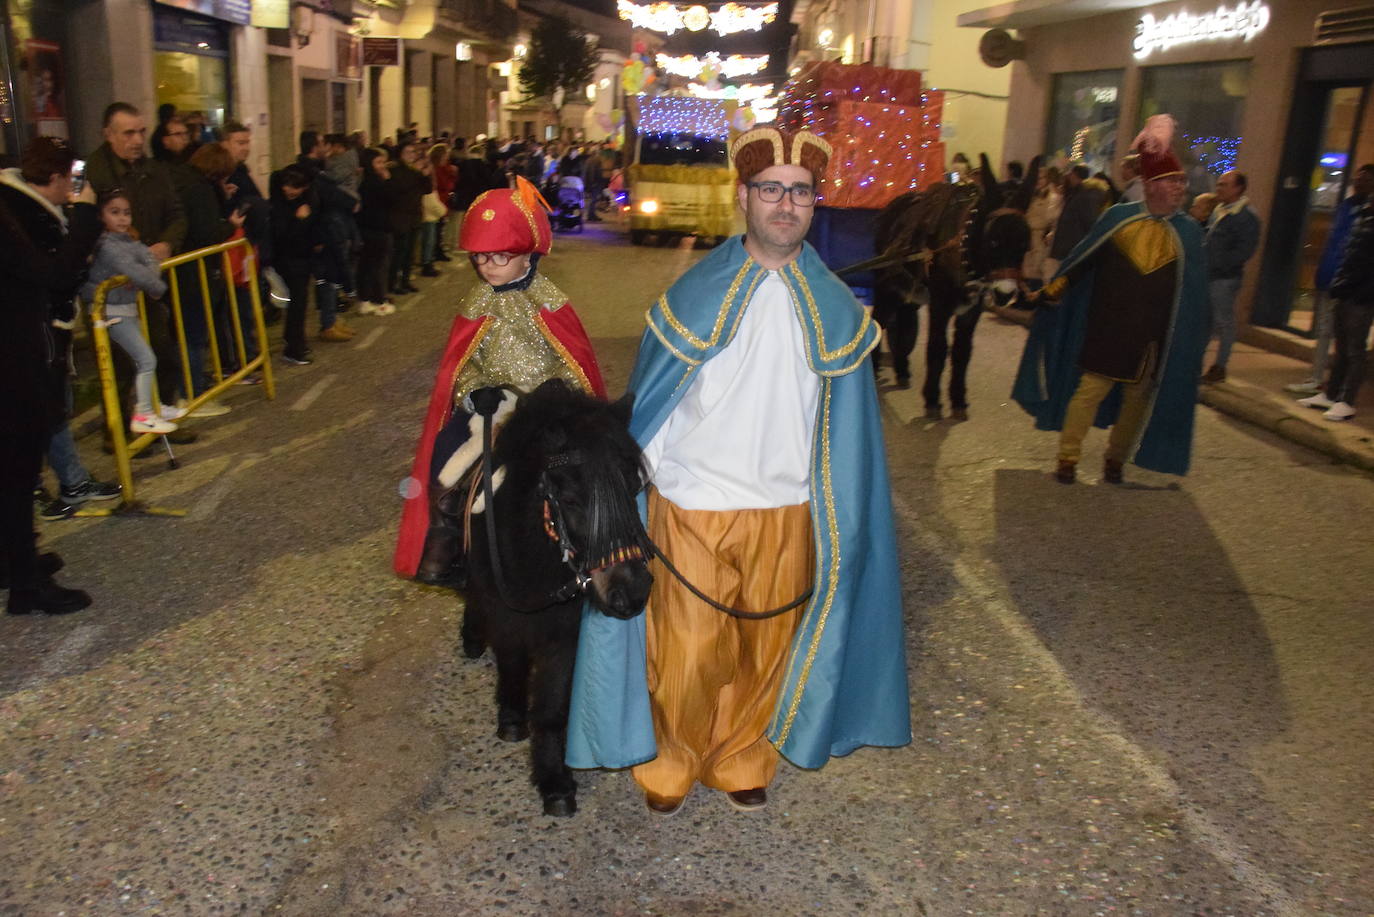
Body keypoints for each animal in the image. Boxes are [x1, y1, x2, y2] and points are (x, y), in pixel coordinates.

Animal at [442, 379, 651, 819]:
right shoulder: (507, 614)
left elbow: (553, 706)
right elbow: (512, 662)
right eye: (570, 499)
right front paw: (511, 718)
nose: (632, 592)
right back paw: (472, 637)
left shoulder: (564, 633)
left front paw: (554, 782)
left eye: (633, 487)